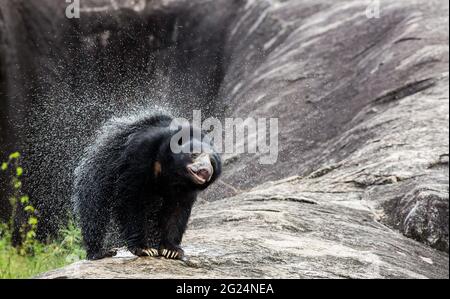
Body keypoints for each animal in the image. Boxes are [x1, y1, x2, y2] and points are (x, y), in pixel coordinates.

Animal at [73, 112, 222, 260]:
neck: (174, 172)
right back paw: (101, 252)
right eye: (194, 154)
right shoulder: (140, 154)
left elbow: (177, 210)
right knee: (94, 210)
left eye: (212, 162)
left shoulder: (185, 188)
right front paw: (145, 249)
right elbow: (131, 197)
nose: (206, 170)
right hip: (99, 170)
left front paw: (171, 250)